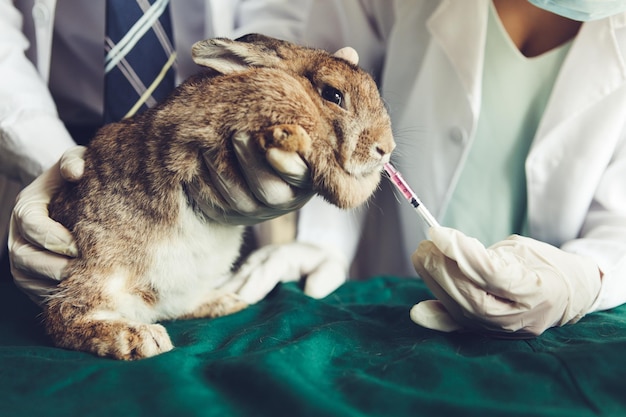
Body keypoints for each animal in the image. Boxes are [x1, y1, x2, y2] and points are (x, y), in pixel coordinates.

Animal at [44, 34, 392, 360]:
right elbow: (320, 150)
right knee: (63, 317)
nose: (386, 149)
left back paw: (224, 302)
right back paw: (141, 339)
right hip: (103, 268)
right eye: (333, 95)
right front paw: (355, 185)